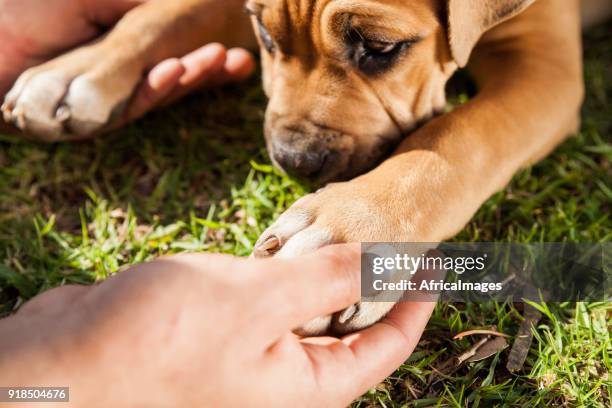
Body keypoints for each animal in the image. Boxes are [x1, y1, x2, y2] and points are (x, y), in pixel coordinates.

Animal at [2, 0, 608, 334]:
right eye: (264, 34)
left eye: (380, 48)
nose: (293, 159)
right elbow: (171, 8)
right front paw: (79, 68)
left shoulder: (543, 66)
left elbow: (458, 134)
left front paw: (355, 229)